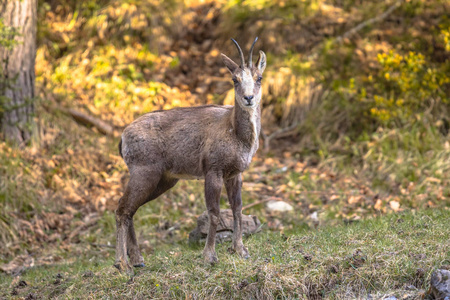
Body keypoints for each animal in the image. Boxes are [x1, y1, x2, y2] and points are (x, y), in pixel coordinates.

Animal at [114, 37, 266, 272]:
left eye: (259, 77)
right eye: (235, 79)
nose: (248, 98)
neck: (235, 132)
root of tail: (123, 137)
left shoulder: (235, 174)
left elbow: (237, 209)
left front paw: (241, 251)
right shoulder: (213, 170)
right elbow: (214, 212)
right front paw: (210, 256)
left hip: (164, 180)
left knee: (131, 209)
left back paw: (138, 260)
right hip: (144, 172)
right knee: (122, 208)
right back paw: (122, 264)